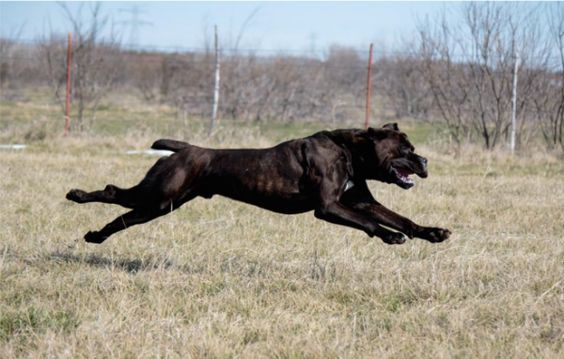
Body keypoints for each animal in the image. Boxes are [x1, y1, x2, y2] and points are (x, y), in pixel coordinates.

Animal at [67, 124, 450, 245]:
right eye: (406, 149)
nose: (426, 162)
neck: (349, 151)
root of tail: (185, 149)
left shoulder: (360, 201)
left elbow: (400, 218)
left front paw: (432, 232)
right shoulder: (329, 208)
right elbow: (371, 224)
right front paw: (389, 237)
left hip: (160, 205)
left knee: (123, 217)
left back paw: (95, 236)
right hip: (158, 195)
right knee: (113, 194)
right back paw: (77, 195)